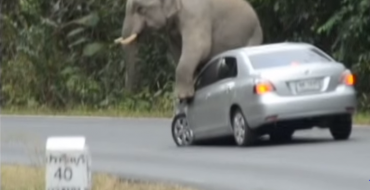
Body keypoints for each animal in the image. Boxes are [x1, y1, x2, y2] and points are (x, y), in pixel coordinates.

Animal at [115, 0, 264, 101]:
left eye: (140, 9)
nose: (128, 95)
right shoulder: (173, 29)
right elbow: (178, 52)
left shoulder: (196, 15)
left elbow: (200, 47)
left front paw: (183, 96)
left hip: (253, 36)